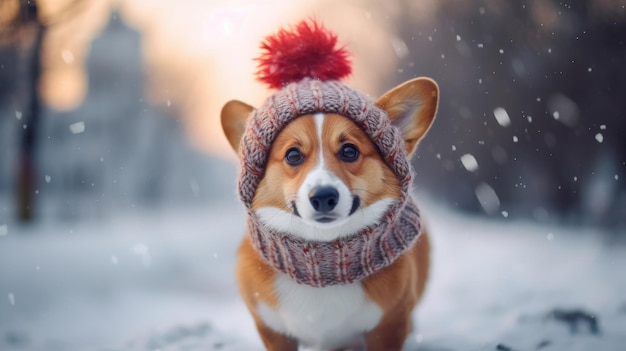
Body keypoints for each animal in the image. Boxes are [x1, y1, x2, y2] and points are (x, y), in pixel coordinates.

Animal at [222, 75, 436, 350]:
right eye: (293, 155)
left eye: (349, 151)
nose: (323, 197)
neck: (323, 268)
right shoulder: (272, 330)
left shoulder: (390, 323)